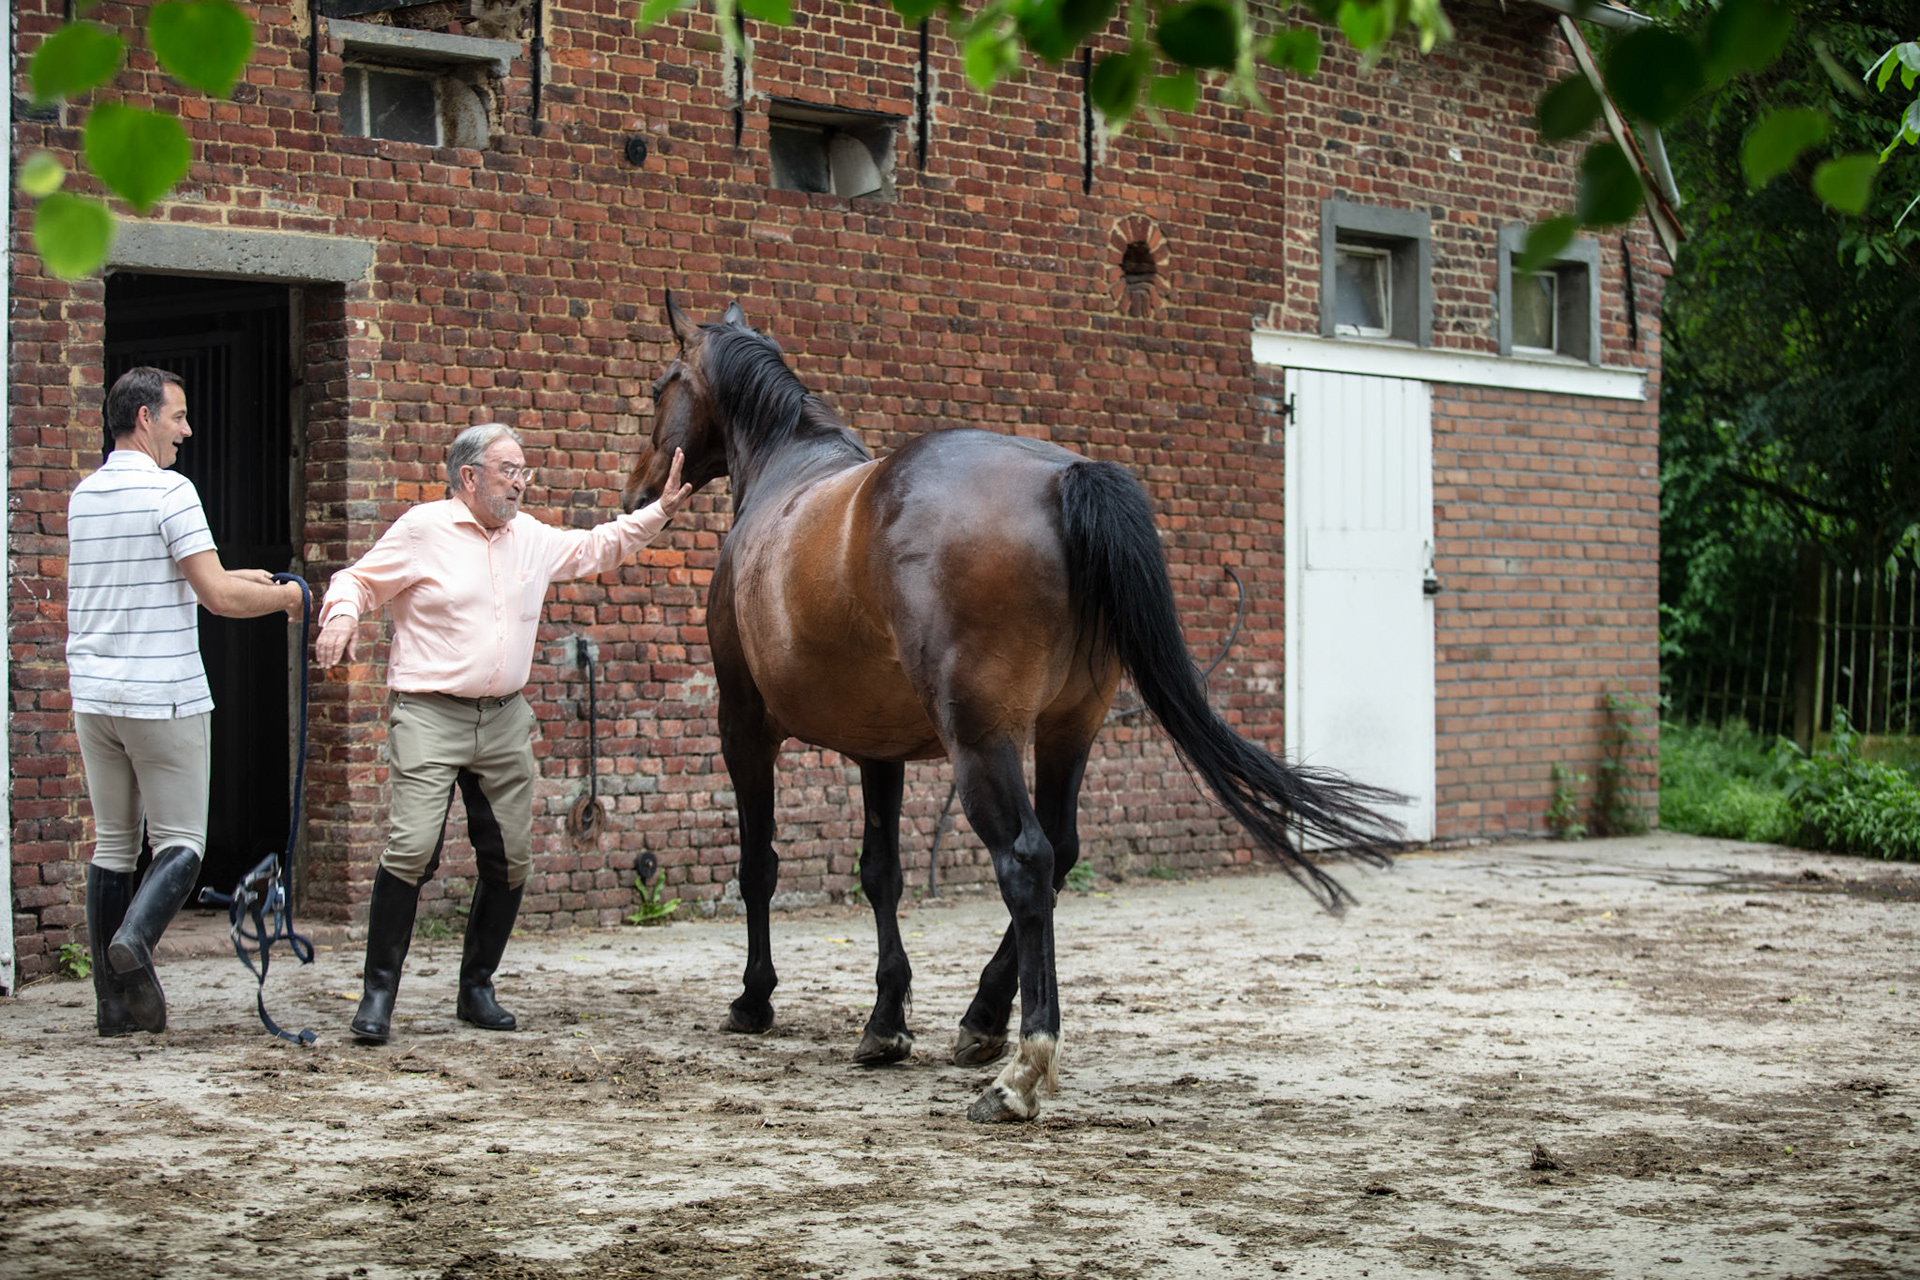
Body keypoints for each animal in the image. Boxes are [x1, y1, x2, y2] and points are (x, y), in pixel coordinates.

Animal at [623, 296, 1405, 1123]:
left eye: (660, 387)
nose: (638, 492)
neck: (788, 474)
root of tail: (1062, 480)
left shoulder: (743, 726)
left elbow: (759, 865)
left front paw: (754, 999)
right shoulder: (880, 748)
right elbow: (881, 872)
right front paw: (886, 1021)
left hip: (982, 741)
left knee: (1026, 860)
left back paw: (1022, 1066)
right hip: (1069, 729)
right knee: (1060, 850)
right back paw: (983, 1019)